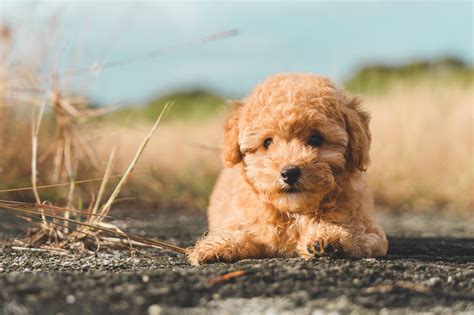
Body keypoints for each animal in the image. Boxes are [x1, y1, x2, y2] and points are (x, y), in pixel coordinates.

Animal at [187, 73, 386, 266]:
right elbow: (241, 233)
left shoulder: (370, 229)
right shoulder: (244, 221)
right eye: (267, 142)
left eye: (316, 139)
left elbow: (356, 233)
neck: (293, 211)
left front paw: (329, 237)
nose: (290, 173)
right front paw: (216, 247)